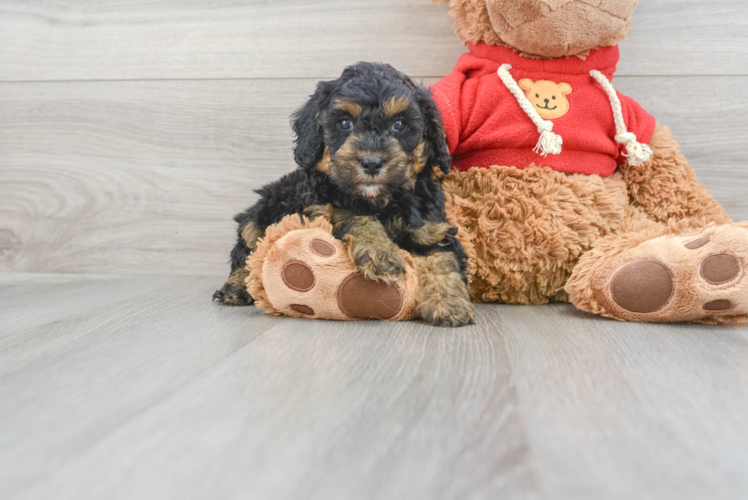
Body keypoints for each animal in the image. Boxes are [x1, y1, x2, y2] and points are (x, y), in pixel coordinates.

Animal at [213, 61, 476, 328]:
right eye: (345, 123)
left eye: (400, 125)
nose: (371, 163)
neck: (381, 202)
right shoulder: (318, 208)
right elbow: (350, 214)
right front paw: (380, 251)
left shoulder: (431, 228)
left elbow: (442, 259)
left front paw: (449, 303)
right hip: (259, 215)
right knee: (247, 250)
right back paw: (236, 286)